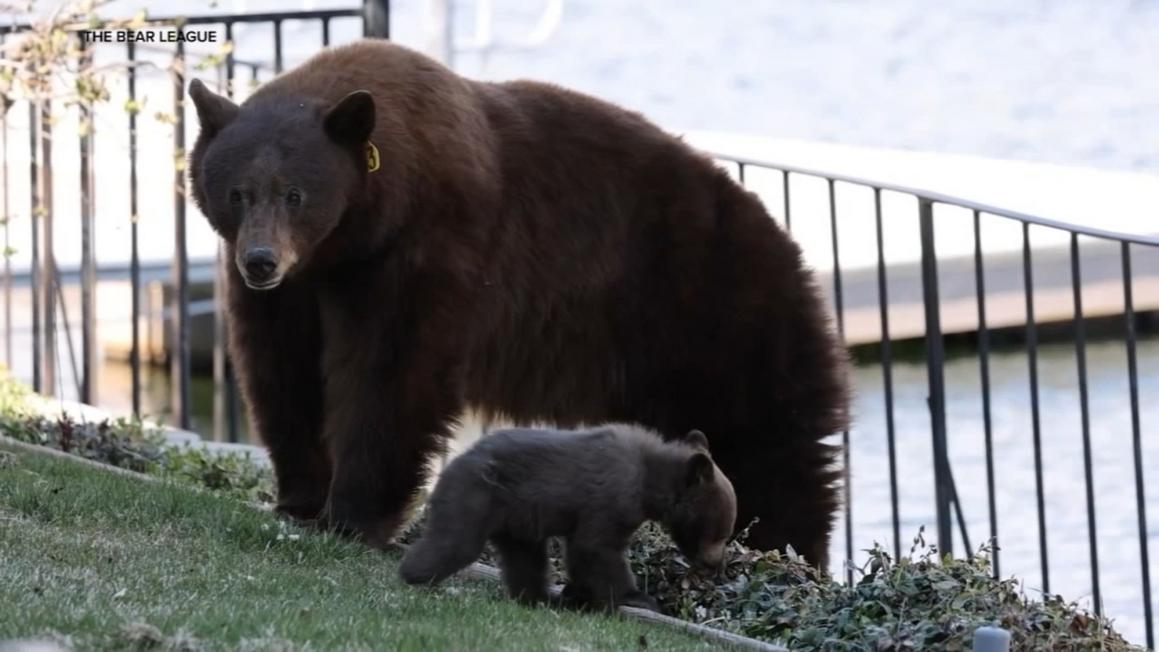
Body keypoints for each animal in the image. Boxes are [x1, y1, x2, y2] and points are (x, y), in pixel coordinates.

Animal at [186, 39, 849, 570]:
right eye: (236, 193)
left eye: (296, 194)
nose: (261, 260)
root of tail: (789, 244)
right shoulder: (298, 287)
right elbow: (282, 367)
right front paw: (298, 499)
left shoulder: (426, 249)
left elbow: (391, 374)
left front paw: (353, 514)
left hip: (718, 317)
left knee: (774, 449)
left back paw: (789, 556)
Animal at [399, 425, 737, 612]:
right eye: (721, 529)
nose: (715, 565)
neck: (650, 481)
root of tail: (453, 461)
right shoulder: (613, 498)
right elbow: (596, 548)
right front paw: (638, 598)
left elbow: (582, 552)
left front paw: (578, 594)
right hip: (475, 496)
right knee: (455, 542)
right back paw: (411, 574)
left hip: (516, 522)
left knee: (526, 561)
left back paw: (540, 598)